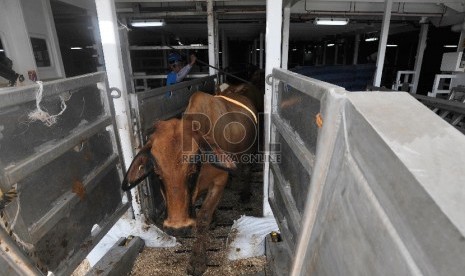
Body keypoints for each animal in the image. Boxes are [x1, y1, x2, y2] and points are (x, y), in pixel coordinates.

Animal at [121, 83, 260, 274]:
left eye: (193, 169)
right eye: (157, 173)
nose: (178, 228)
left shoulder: (219, 181)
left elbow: (203, 218)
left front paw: (198, 260)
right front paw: (213, 219)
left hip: (249, 153)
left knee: (246, 171)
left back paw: (245, 193)